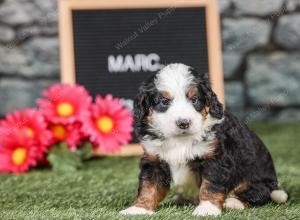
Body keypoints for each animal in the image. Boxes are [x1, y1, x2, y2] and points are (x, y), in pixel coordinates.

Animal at [118, 63, 288, 217]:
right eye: (164, 101)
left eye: (194, 99)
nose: (184, 123)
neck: (180, 140)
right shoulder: (154, 159)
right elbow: (149, 186)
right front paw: (139, 209)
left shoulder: (215, 157)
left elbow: (210, 185)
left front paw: (207, 209)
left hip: (255, 180)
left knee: (257, 193)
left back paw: (233, 202)